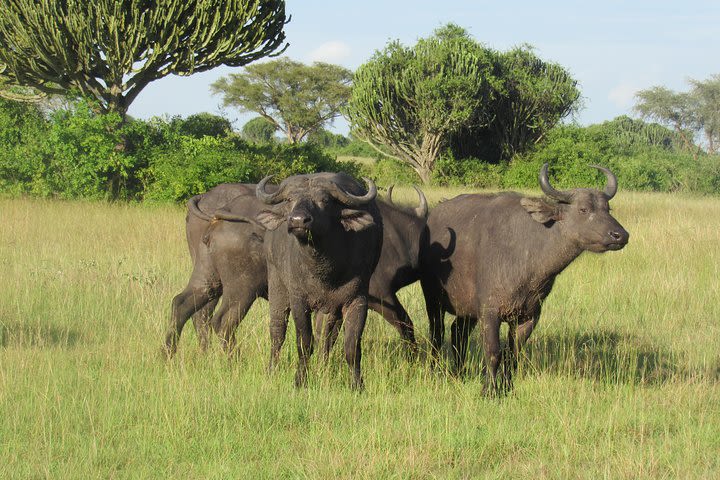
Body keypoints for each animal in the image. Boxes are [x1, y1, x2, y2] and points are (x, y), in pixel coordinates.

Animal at [258, 172, 386, 390]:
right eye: (290, 199)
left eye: (325, 200)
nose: (298, 220)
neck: (323, 270)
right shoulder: (299, 301)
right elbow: (304, 343)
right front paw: (300, 380)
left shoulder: (357, 300)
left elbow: (351, 346)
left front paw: (357, 385)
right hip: (277, 285)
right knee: (277, 332)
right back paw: (271, 370)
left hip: (330, 310)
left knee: (326, 338)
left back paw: (322, 367)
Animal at [420, 163, 628, 392]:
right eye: (584, 209)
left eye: (607, 209)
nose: (620, 235)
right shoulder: (489, 312)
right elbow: (493, 352)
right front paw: (489, 390)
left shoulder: (528, 317)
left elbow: (513, 354)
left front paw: (507, 387)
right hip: (433, 299)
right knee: (437, 333)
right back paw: (434, 370)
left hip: (467, 309)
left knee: (458, 332)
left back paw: (459, 372)